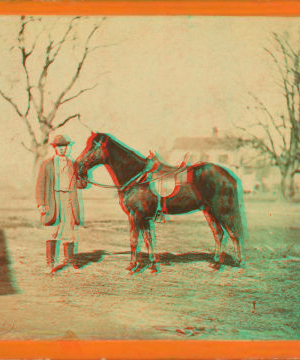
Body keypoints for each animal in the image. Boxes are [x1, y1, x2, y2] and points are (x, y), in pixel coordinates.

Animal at [76, 132, 247, 272]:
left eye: (93, 147)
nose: (78, 166)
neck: (137, 178)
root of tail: (228, 175)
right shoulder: (144, 217)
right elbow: (148, 239)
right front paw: (152, 264)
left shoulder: (135, 215)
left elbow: (134, 239)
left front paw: (133, 265)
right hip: (209, 211)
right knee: (219, 234)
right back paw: (216, 262)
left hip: (222, 211)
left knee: (233, 233)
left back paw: (235, 262)